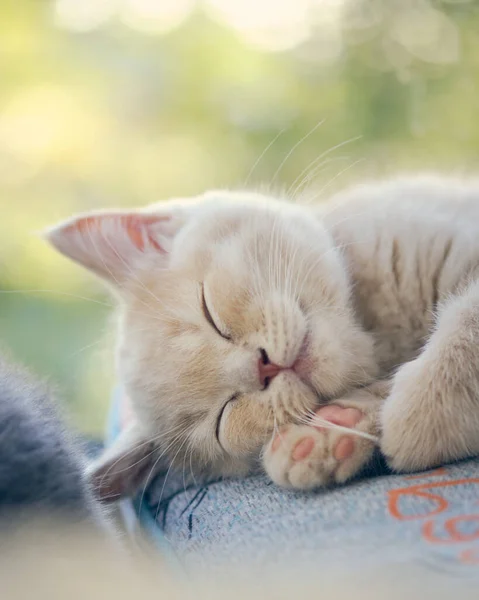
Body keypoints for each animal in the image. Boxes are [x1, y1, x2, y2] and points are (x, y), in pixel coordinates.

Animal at [45, 175, 479, 502]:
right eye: (222, 417)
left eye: (210, 312)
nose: (262, 366)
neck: (379, 334)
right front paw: (326, 430)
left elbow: (468, 324)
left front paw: (422, 413)